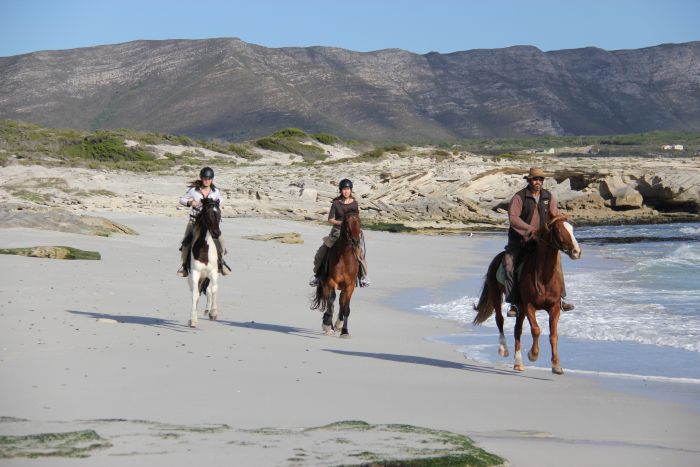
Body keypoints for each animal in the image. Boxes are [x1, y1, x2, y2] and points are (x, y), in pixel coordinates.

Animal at [186, 197, 221, 330]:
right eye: (208, 213)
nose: (217, 233)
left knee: (209, 290)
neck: (204, 250)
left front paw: (213, 313)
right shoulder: (195, 274)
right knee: (196, 292)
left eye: (219, 213)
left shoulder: (213, 272)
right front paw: (193, 320)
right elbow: (195, 295)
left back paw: (208, 311)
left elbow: (214, 289)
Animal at [474, 217, 584, 376]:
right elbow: (536, 330)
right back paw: (504, 349)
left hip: (520, 309)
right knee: (500, 320)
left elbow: (553, 335)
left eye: (572, 228)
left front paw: (556, 365)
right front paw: (533, 354)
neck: (544, 277)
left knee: (517, 330)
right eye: (558, 230)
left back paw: (518, 363)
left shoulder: (554, 307)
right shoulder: (529, 306)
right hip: (496, 294)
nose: (577, 252)